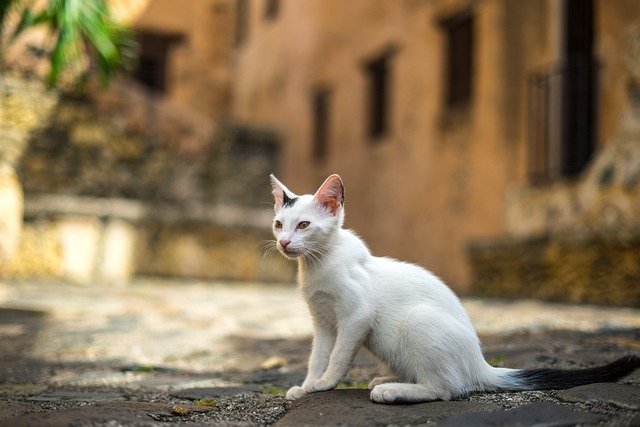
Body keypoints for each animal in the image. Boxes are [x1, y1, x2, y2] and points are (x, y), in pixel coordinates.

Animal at [268, 174, 640, 404]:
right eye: (279, 224)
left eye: (304, 225)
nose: (284, 243)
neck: (318, 265)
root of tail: (480, 363)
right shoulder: (323, 322)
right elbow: (318, 356)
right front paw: (307, 386)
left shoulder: (357, 316)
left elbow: (339, 356)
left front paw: (325, 383)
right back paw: (387, 380)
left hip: (420, 321)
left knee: (448, 389)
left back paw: (393, 391)